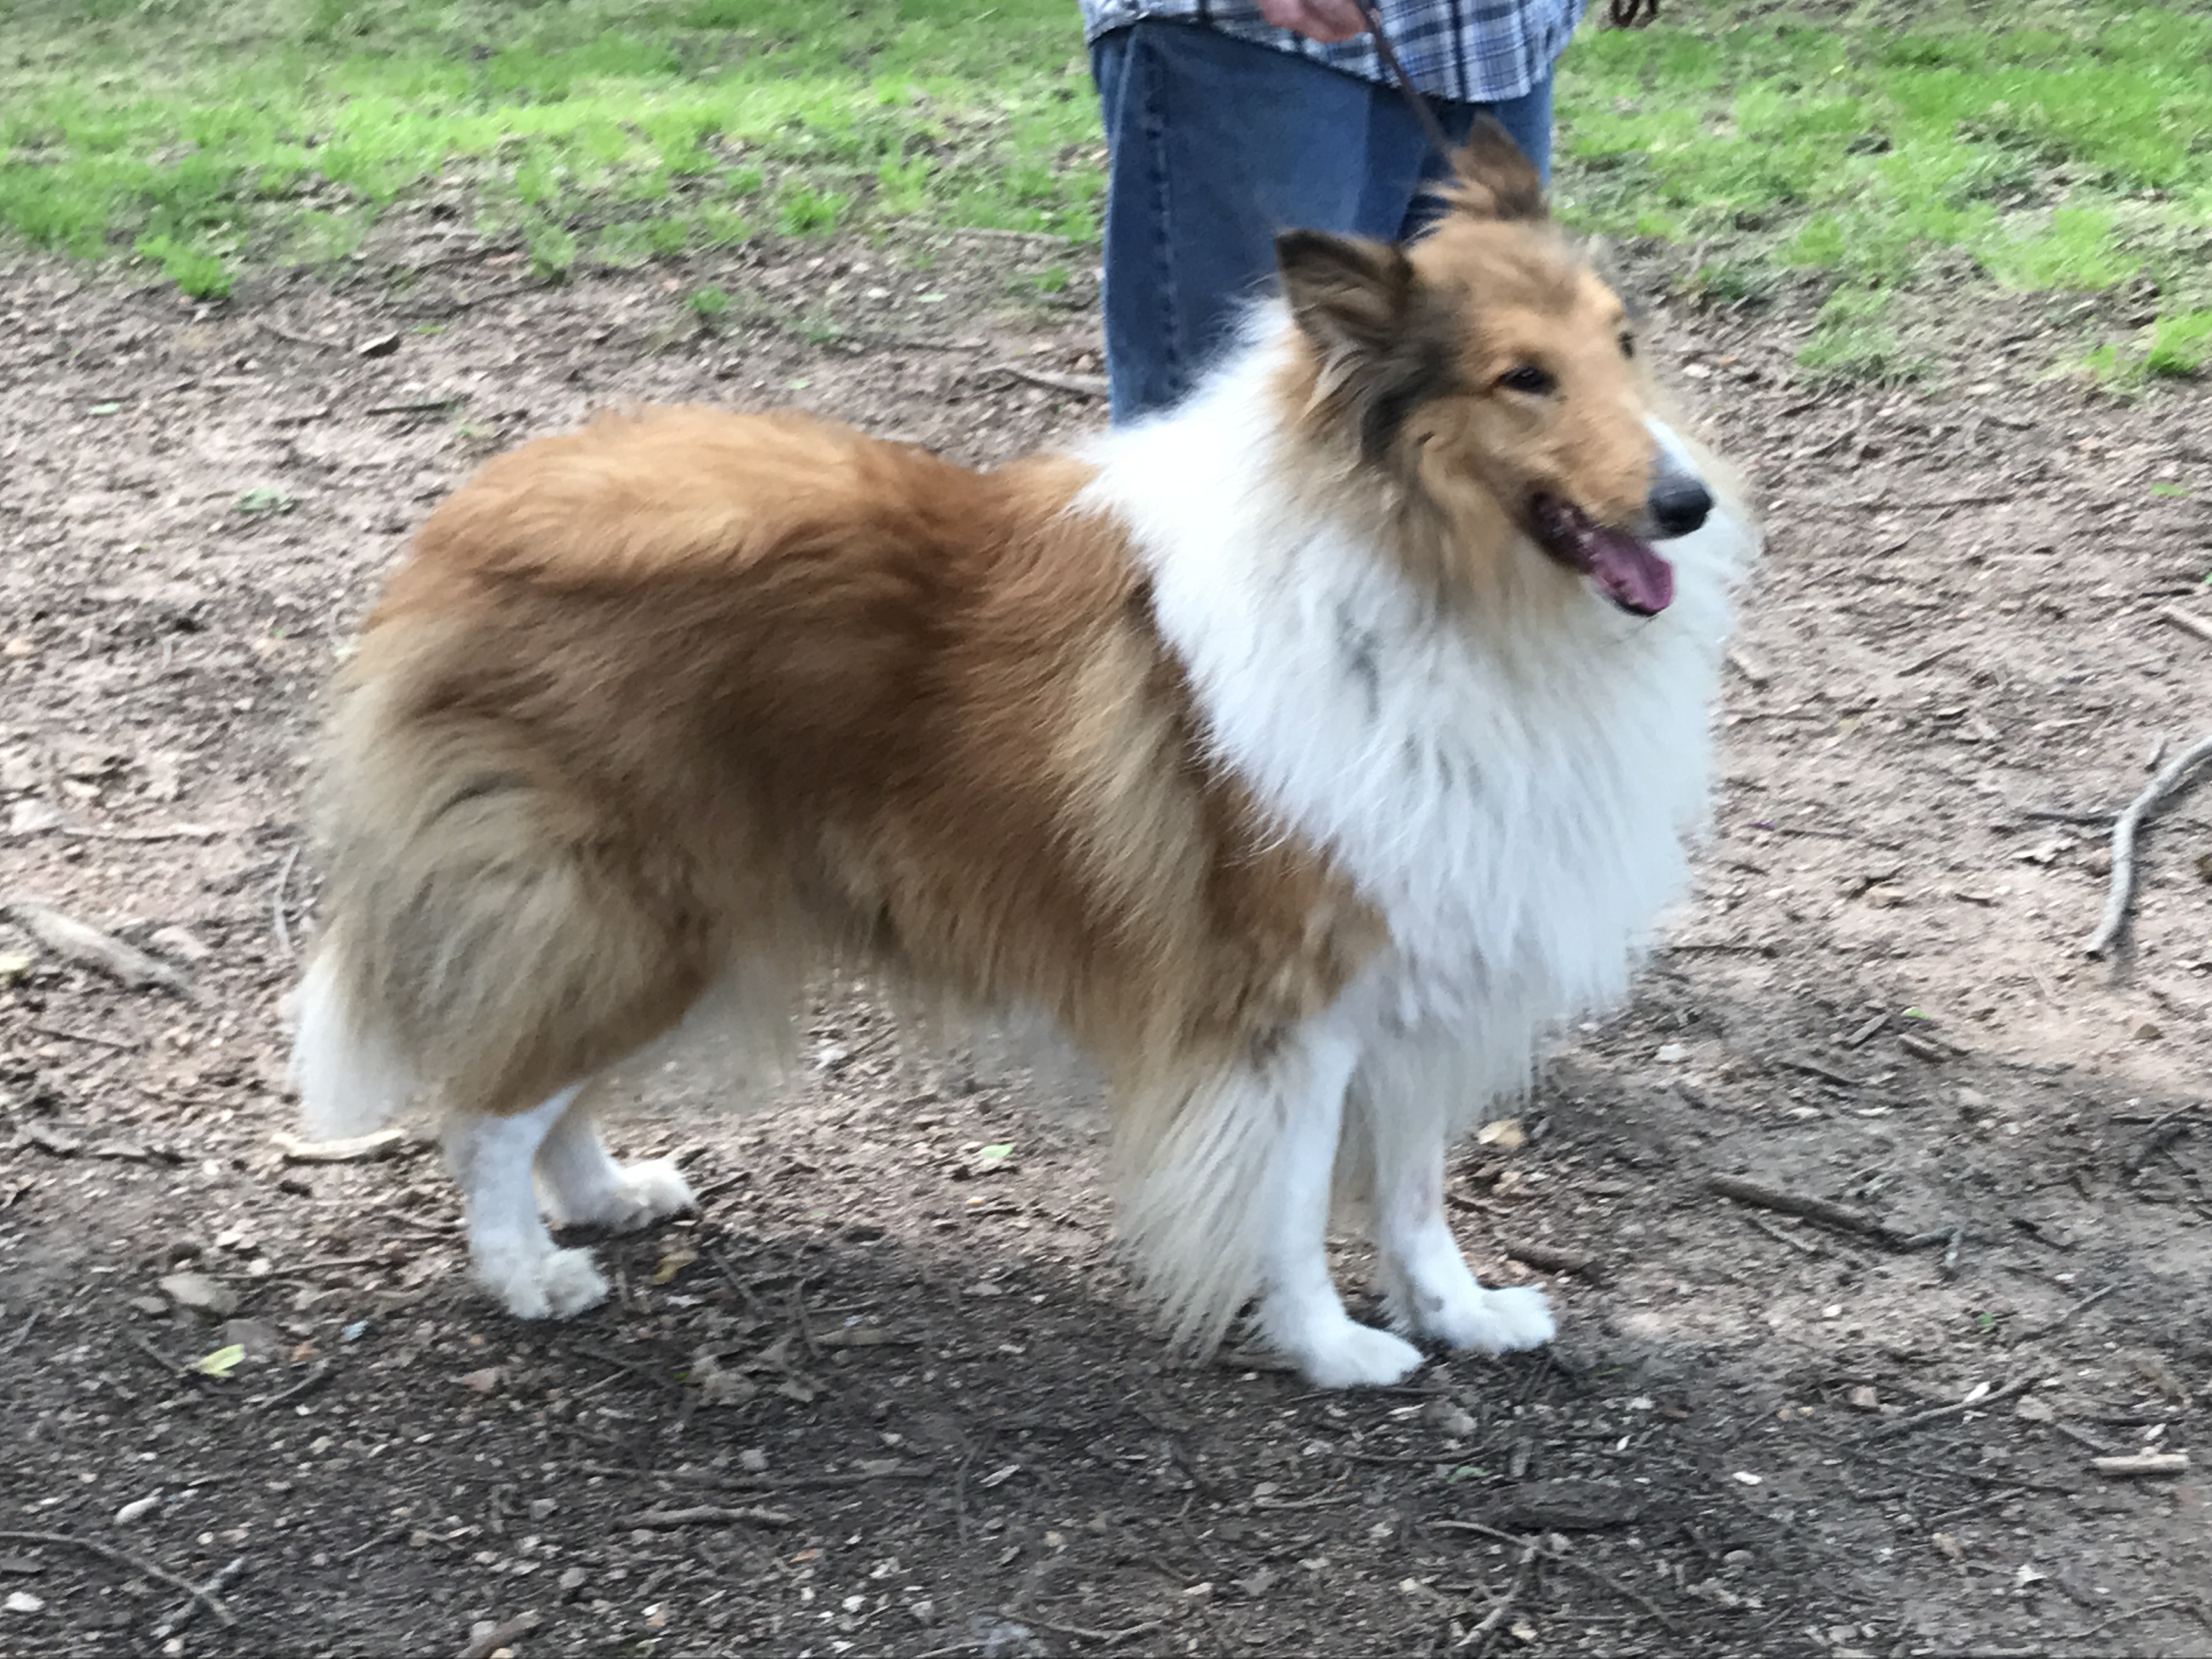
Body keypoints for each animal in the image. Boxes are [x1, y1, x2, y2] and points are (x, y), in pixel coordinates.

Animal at [291, 127, 1753, 1389]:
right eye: (1524, 378)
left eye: (1624, 343)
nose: (1688, 504)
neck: (1425, 576)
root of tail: (456, 527)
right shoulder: (1290, 1001)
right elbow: (1290, 1206)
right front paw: (1332, 1348)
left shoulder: (1416, 971)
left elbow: (1412, 1189)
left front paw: (1459, 1313)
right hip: (632, 907)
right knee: (488, 1104)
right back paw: (525, 1273)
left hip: (670, 915)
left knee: (545, 1081)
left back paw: (604, 1193)